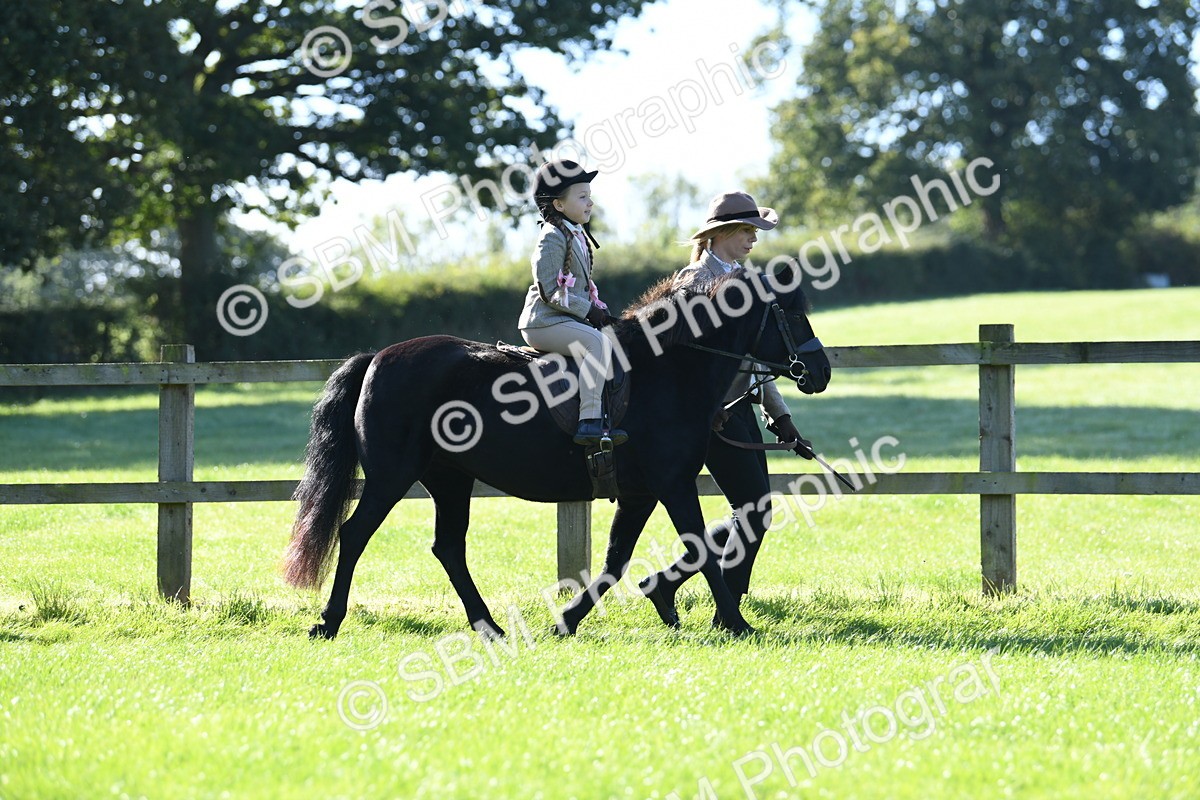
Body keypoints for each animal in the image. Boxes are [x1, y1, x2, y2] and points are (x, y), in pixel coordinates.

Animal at [282, 266, 831, 639]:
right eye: (792, 312)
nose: (821, 371)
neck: (668, 370)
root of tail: (377, 357)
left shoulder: (641, 492)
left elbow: (616, 560)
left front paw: (569, 620)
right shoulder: (672, 483)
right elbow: (699, 547)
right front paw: (737, 623)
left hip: (450, 480)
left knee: (449, 548)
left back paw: (489, 627)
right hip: (392, 476)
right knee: (354, 535)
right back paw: (328, 622)